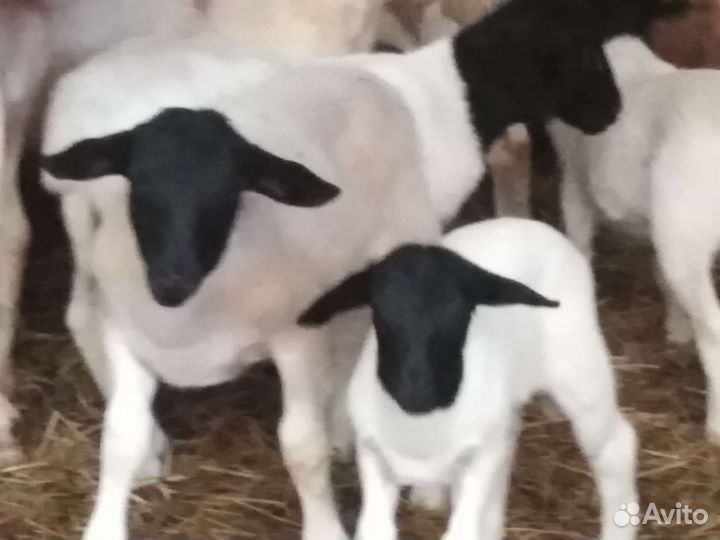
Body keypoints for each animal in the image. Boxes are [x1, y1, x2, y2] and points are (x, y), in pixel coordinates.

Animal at [299, 218, 639, 540]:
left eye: (459, 310)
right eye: (378, 309)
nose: (416, 391)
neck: (421, 426)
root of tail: (532, 225)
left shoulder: (477, 462)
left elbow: (461, 533)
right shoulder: (373, 456)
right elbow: (375, 530)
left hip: (580, 370)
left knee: (615, 448)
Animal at [549, 32, 720, 444]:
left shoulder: (574, 177)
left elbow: (579, 242)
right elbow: (659, 275)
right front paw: (676, 330)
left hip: (685, 233)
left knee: (714, 330)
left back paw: (715, 426)